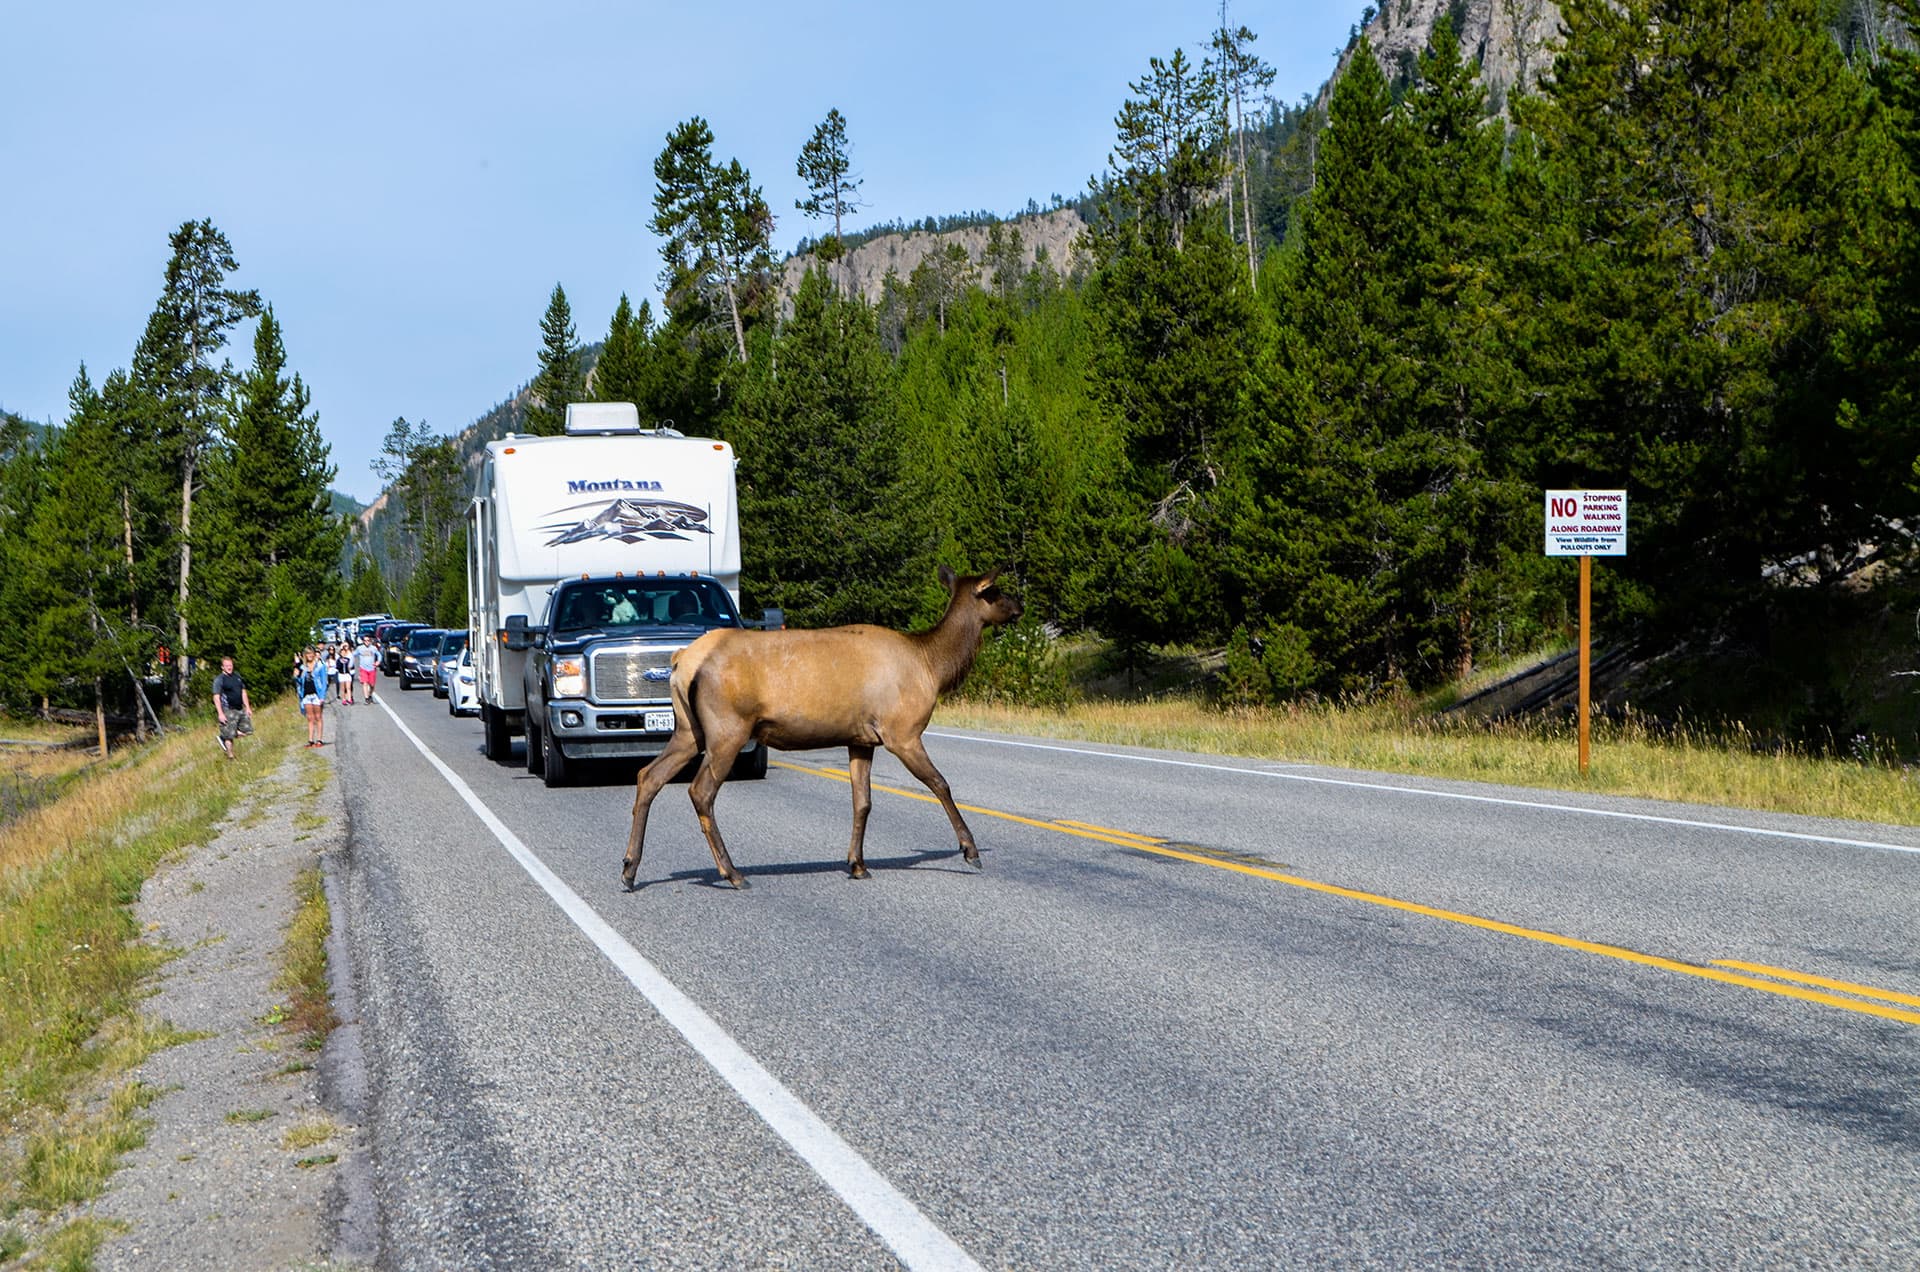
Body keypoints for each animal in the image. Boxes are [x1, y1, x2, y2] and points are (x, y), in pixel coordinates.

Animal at [623, 566, 1023, 890]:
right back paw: (732, 873)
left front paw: (857, 864)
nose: (1020, 604)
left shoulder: (861, 739)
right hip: (728, 727)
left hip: (689, 730)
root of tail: (681, 661)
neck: (932, 667)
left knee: (649, 775)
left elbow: (862, 801)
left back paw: (629, 869)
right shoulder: (902, 731)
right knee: (700, 790)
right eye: (995, 590)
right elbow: (940, 784)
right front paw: (970, 850)